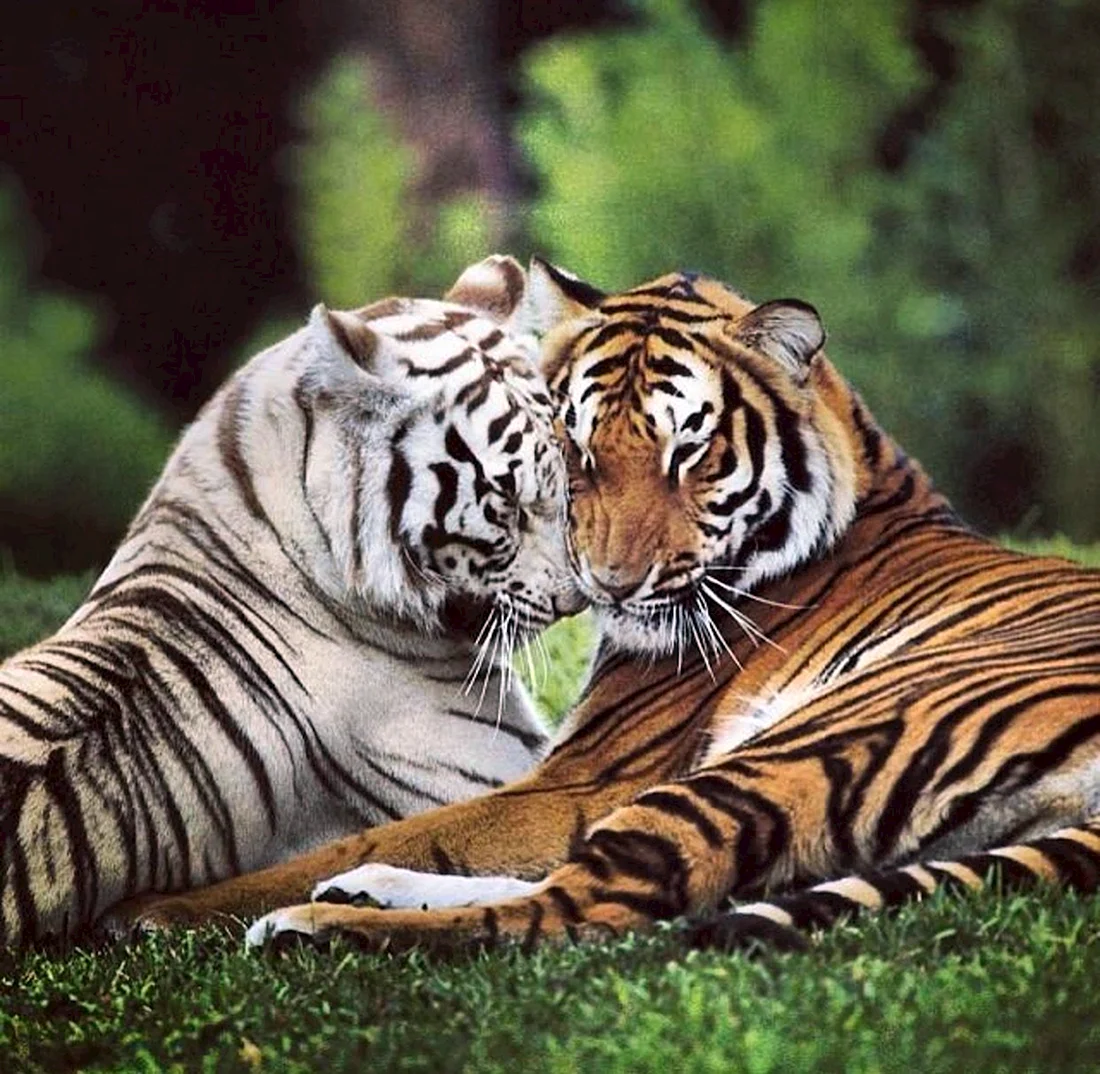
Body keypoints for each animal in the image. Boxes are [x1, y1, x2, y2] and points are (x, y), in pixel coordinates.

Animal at [113, 261, 1100, 957]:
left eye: (689, 454)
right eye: (577, 449)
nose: (610, 585)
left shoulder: (587, 776)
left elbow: (388, 836)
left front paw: (158, 912)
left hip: (815, 738)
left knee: (584, 910)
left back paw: (317, 929)